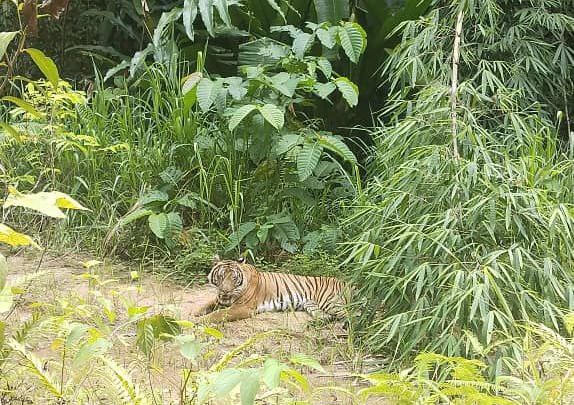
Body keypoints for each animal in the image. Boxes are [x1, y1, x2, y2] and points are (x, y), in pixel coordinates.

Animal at [196, 256, 352, 322]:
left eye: (234, 278)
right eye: (221, 276)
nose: (226, 291)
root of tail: (346, 283)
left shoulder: (242, 308)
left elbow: (217, 314)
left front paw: (199, 321)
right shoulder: (219, 299)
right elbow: (207, 305)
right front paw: (196, 313)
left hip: (330, 302)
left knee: (351, 316)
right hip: (312, 305)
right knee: (327, 318)